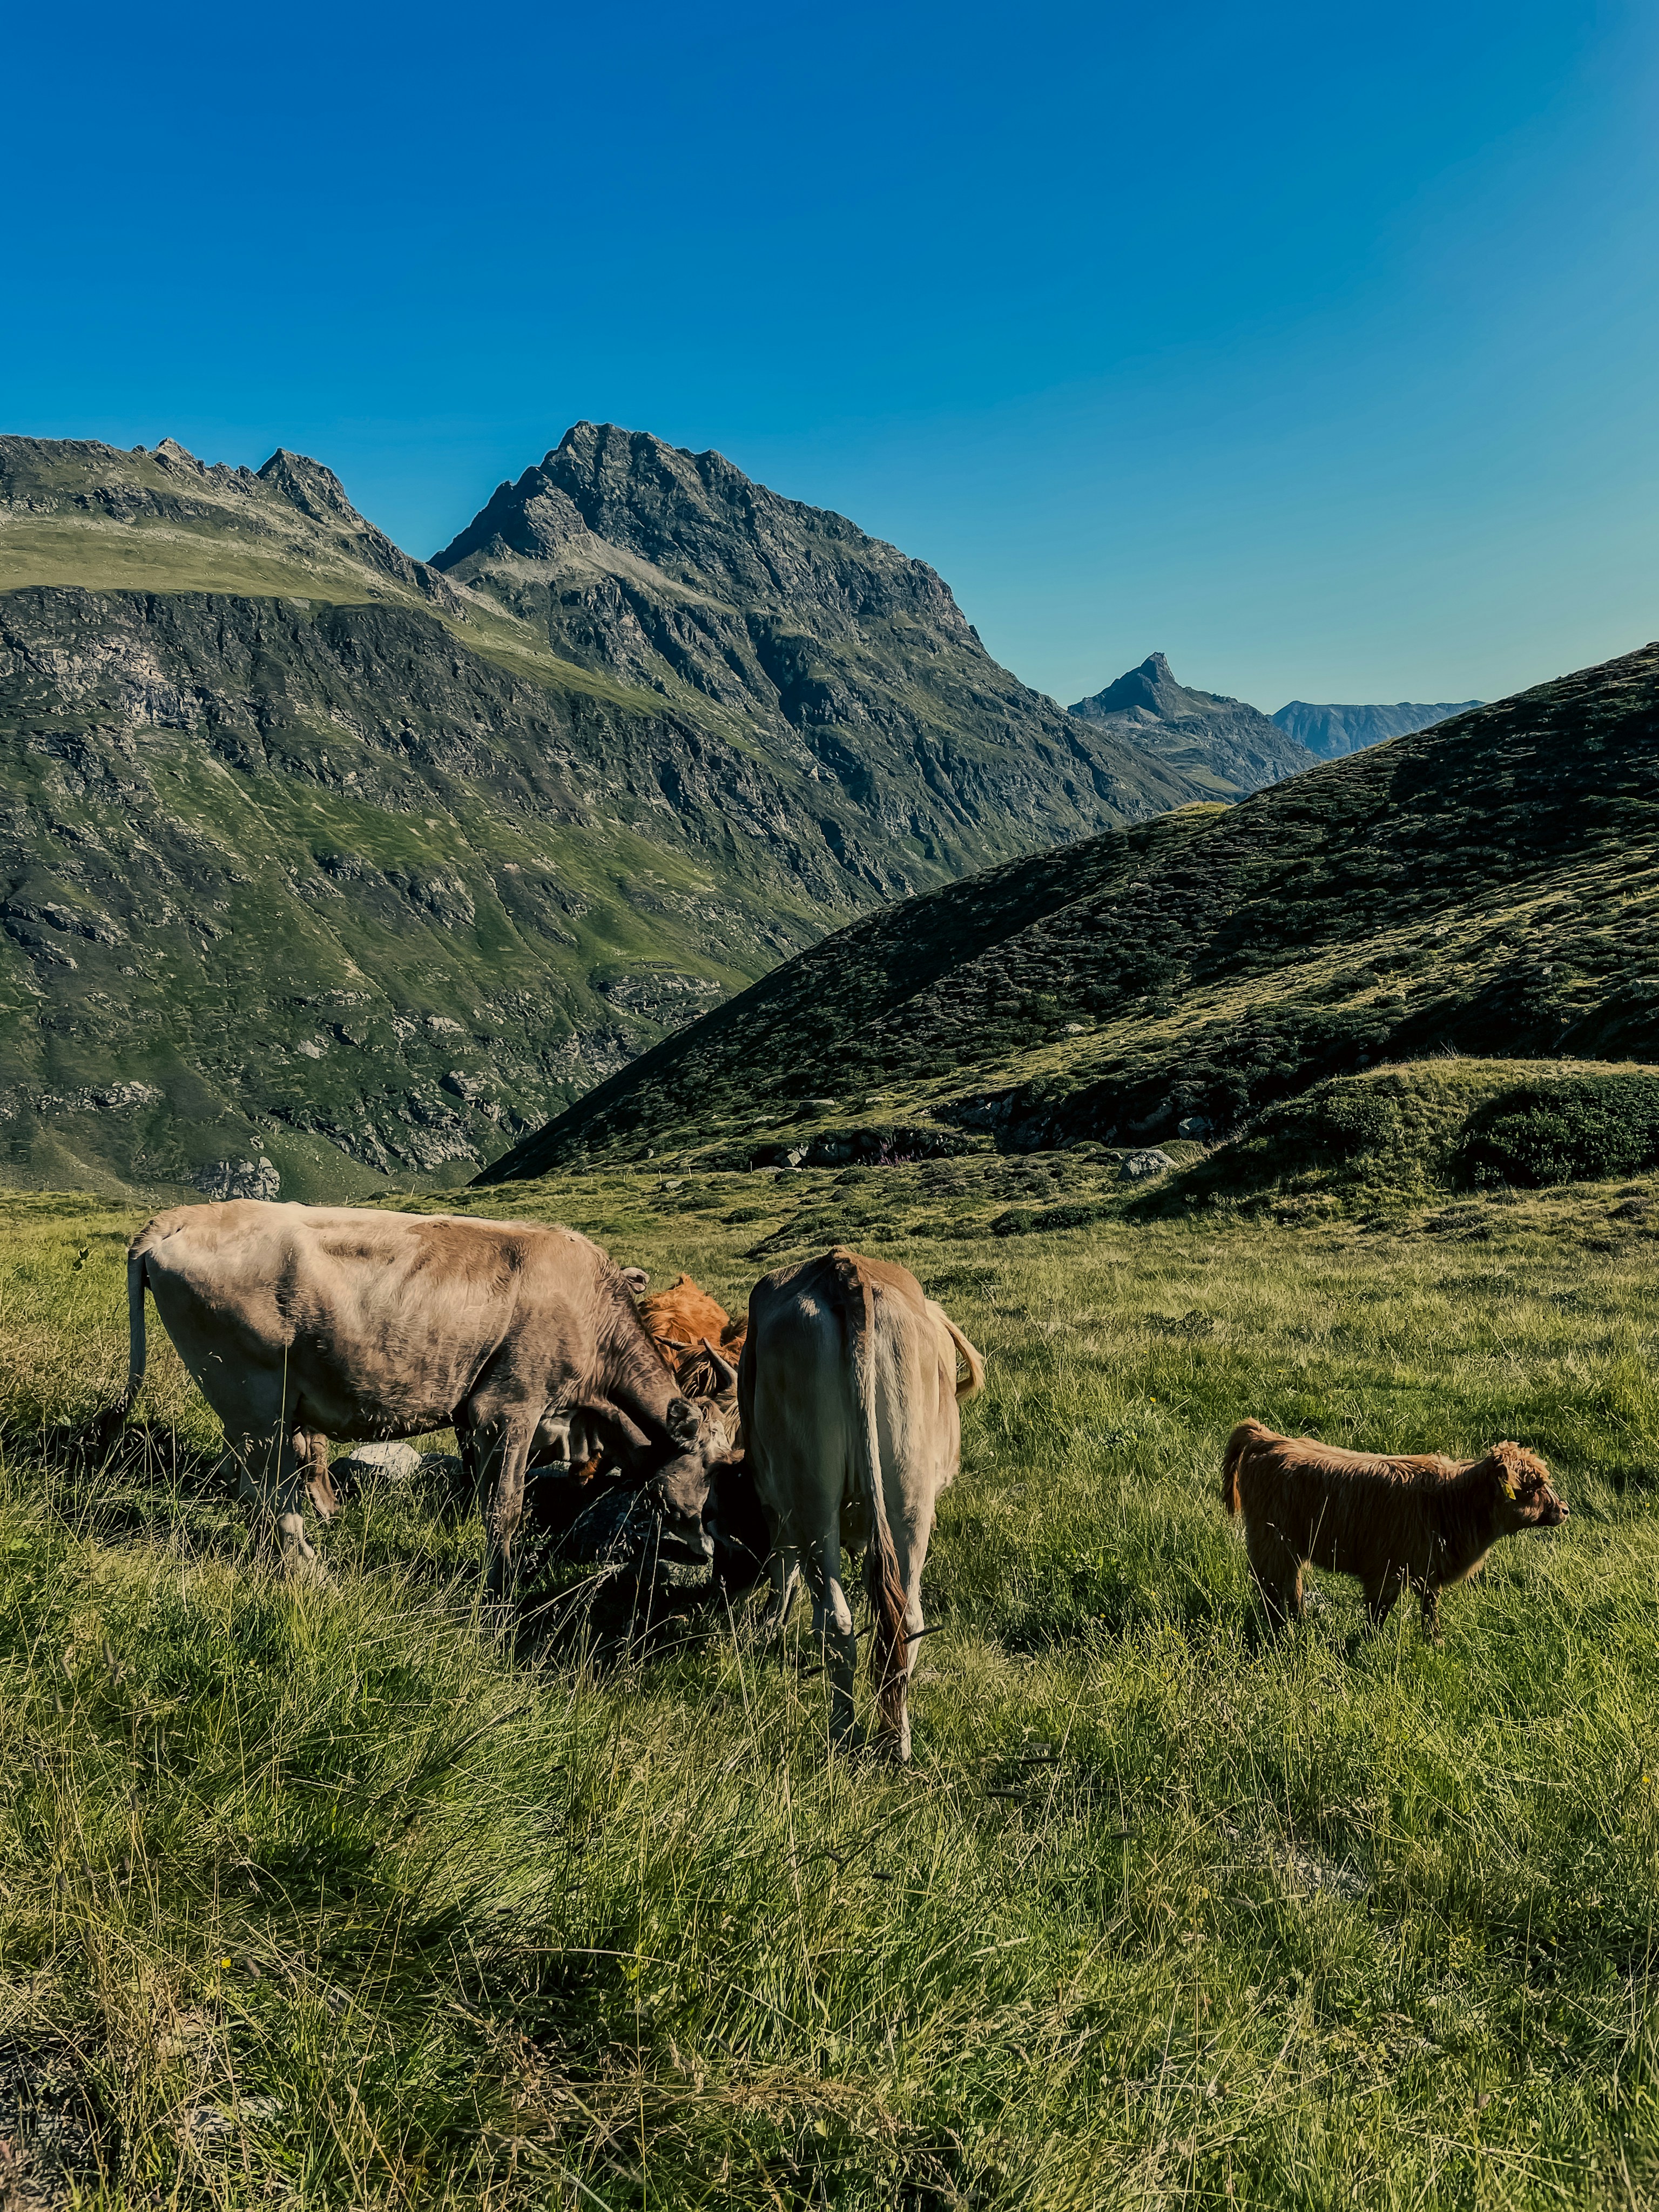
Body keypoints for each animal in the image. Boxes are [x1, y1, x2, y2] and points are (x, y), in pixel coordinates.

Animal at [88, 1202, 731, 1590]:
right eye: (708, 1465)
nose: (704, 1547)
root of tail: (184, 1215)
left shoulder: (482, 1419)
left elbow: (482, 1493)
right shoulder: (510, 1408)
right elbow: (504, 1507)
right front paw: (501, 1587)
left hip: (250, 1408)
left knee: (254, 1484)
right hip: (253, 1396)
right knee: (269, 1490)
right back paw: (313, 1574)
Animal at [738, 1246, 984, 1761]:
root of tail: (844, 1270)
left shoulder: (772, 1496)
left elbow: (781, 1566)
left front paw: (770, 1624)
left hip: (814, 1499)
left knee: (837, 1619)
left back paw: (844, 1734)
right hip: (907, 1498)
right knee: (902, 1620)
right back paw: (893, 1740)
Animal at [1221, 1418, 1569, 1639]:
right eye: (1532, 1486)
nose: (1565, 1510)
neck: (1452, 1503)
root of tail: (1268, 1438)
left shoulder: (1427, 1570)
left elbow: (1429, 1609)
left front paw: (1434, 1642)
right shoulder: (1385, 1571)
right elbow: (1378, 1614)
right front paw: (1365, 1646)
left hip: (1288, 1548)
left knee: (1290, 1587)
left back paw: (1298, 1624)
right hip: (1271, 1540)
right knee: (1271, 1588)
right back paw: (1280, 1630)